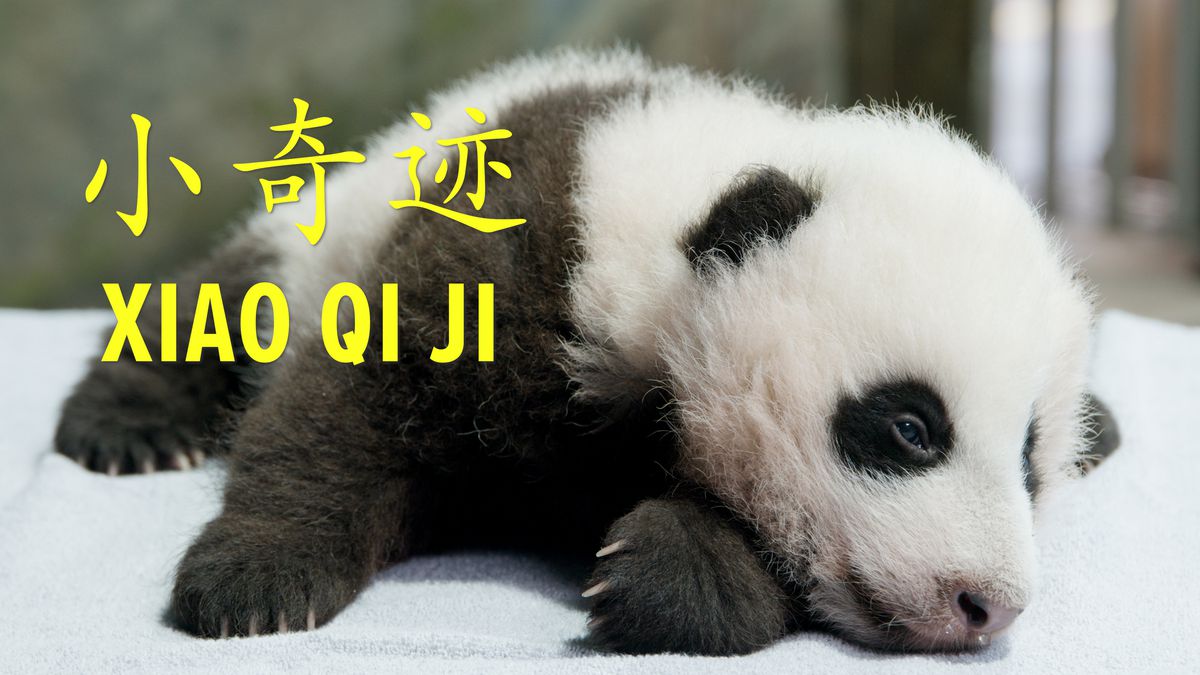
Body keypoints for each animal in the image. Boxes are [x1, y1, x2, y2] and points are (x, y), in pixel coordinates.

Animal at [54, 47, 1120, 655]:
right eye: (908, 426)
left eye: (1032, 465)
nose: (986, 605)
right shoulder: (517, 255)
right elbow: (344, 409)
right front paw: (253, 584)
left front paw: (664, 573)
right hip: (330, 229)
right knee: (226, 301)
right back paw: (128, 426)